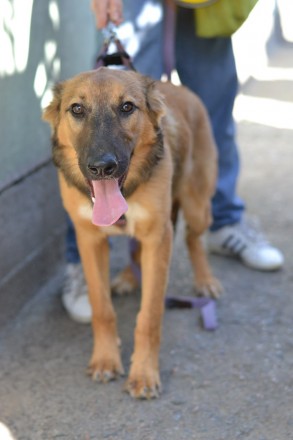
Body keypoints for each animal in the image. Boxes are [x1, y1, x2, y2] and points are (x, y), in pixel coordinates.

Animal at [43, 68, 220, 398]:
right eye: (77, 109)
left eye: (127, 107)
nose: (102, 167)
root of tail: (177, 86)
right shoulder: (89, 240)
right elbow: (102, 309)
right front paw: (105, 359)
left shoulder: (158, 239)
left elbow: (149, 317)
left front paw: (144, 374)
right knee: (135, 250)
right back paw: (127, 277)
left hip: (197, 207)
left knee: (193, 238)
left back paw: (205, 280)